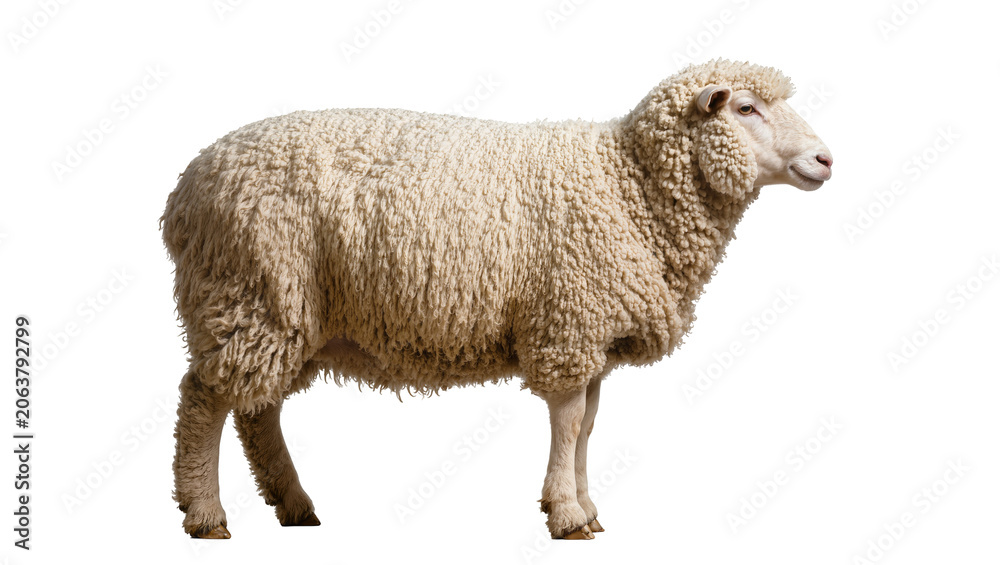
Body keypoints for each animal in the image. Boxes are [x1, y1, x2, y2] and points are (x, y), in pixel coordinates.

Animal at [162, 59, 833, 540]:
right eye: (746, 107)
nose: (826, 159)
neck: (630, 184)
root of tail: (186, 191)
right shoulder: (567, 324)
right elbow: (568, 423)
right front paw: (567, 514)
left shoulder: (591, 334)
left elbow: (588, 425)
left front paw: (585, 505)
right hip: (248, 292)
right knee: (203, 401)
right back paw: (206, 514)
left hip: (281, 312)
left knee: (256, 410)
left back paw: (295, 504)